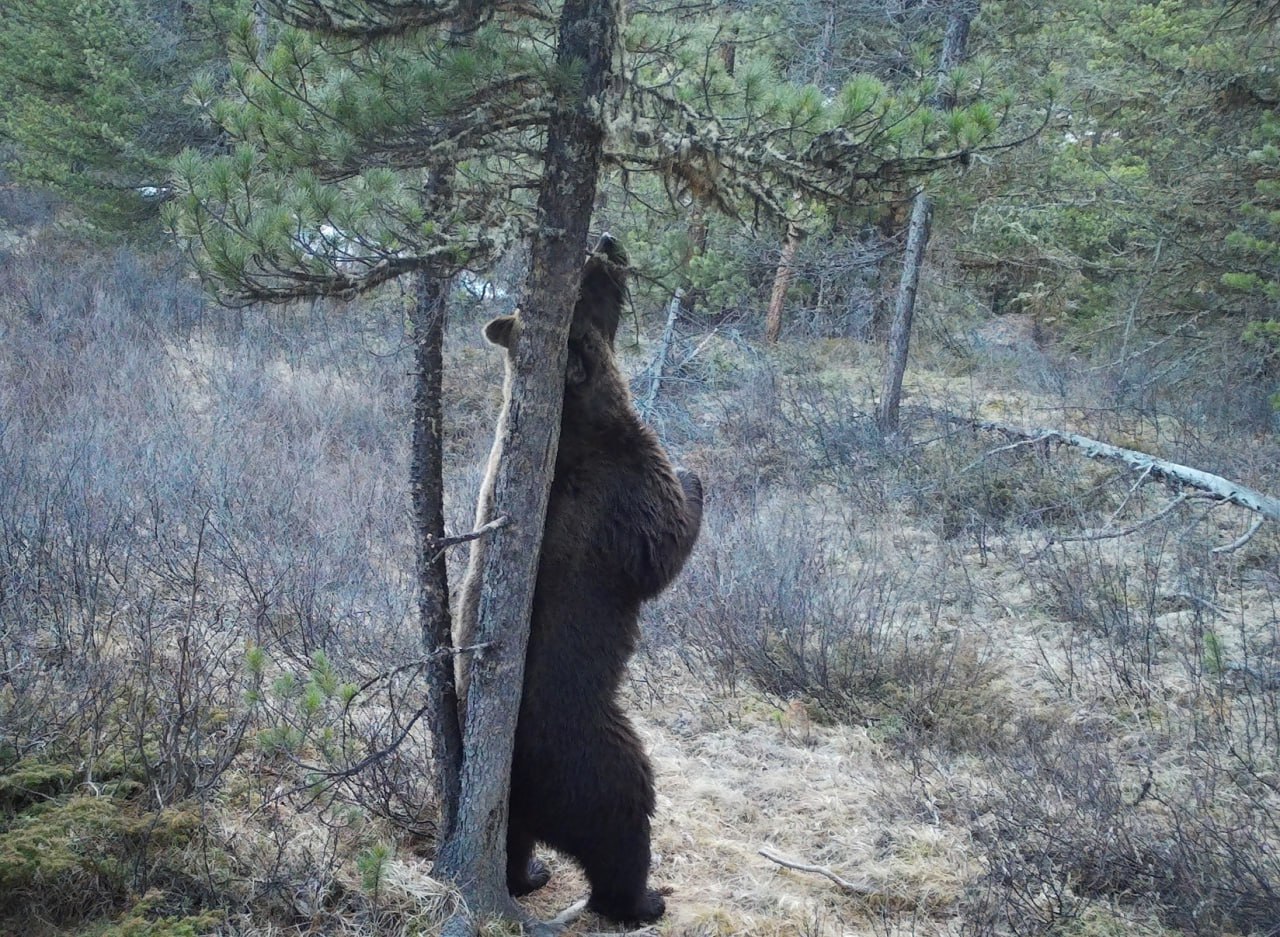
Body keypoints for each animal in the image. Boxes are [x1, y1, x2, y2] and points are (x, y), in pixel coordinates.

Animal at [455, 234, 706, 921]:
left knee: (511, 842)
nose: (610, 241)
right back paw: (642, 900)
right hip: (592, 753)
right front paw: (697, 477)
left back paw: (527, 875)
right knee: (623, 818)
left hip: (507, 805)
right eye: (592, 284)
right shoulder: (616, 497)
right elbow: (663, 543)